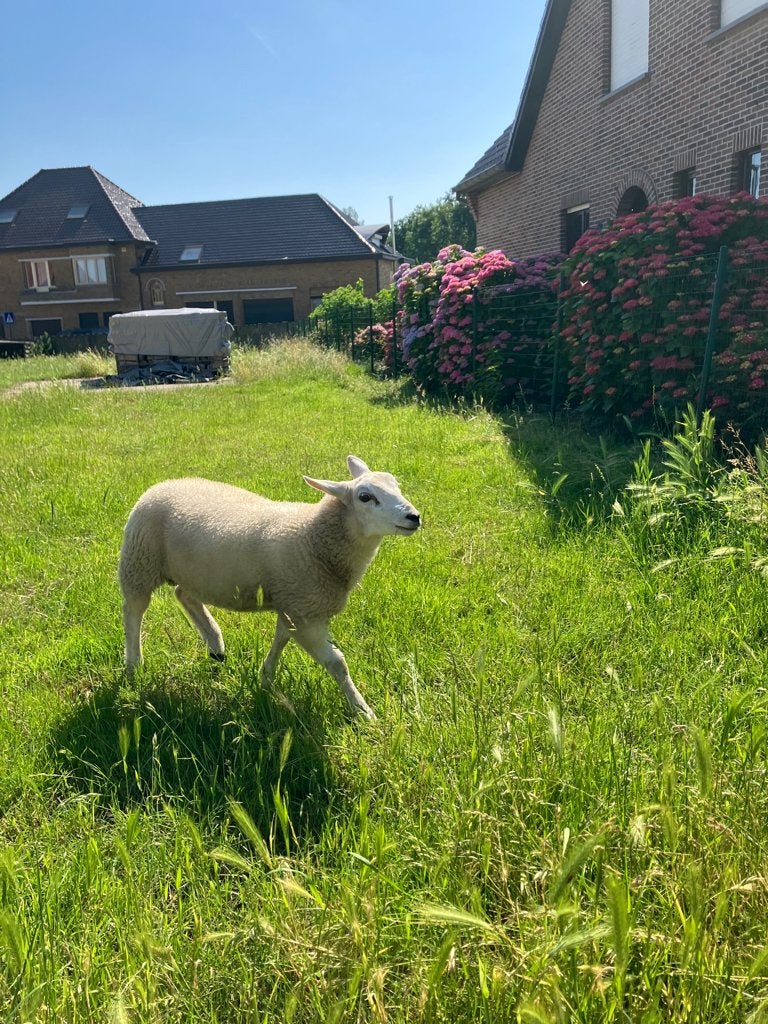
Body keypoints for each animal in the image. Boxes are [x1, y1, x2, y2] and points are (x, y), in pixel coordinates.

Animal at [118, 455, 420, 719]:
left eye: (396, 485)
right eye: (365, 497)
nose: (414, 517)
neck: (314, 537)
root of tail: (162, 484)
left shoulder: (293, 605)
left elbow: (280, 639)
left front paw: (266, 680)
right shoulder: (306, 614)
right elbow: (338, 664)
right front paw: (363, 711)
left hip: (196, 573)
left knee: (184, 595)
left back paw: (216, 646)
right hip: (139, 562)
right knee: (134, 612)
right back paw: (134, 666)